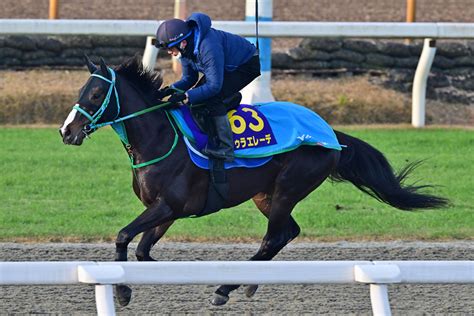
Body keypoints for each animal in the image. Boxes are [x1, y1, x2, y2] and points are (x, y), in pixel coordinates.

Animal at [59, 56, 448, 306]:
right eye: (80, 91)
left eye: (96, 95)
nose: (67, 131)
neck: (159, 138)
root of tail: (329, 132)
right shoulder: (166, 212)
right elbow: (141, 251)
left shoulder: (169, 205)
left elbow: (124, 236)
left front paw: (122, 292)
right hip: (265, 194)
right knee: (285, 233)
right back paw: (244, 284)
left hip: (289, 186)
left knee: (274, 236)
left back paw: (226, 287)